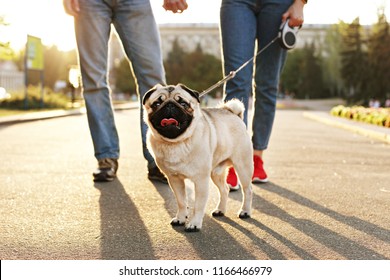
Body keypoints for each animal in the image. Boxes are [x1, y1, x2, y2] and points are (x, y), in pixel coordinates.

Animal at [142, 83, 253, 232]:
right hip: (215, 173)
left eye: (183, 103)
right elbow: (182, 202)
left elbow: (198, 205)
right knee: (225, 189)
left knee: (247, 190)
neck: (176, 143)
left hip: (243, 167)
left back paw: (245, 211)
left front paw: (194, 223)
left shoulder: (201, 180)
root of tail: (234, 114)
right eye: (157, 103)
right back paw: (220, 210)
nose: (170, 105)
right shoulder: (174, 179)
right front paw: (181, 218)